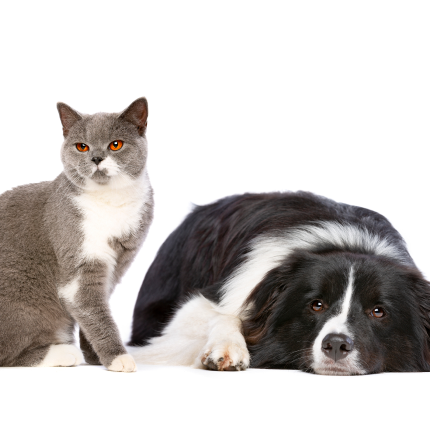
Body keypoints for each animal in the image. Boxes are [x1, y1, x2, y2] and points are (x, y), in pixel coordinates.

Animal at [0, 96, 154, 370]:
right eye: (82, 147)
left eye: (115, 144)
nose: (96, 158)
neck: (110, 201)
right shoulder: (79, 262)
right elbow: (96, 312)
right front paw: (118, 358)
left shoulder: (118, 265)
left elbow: (94, 312)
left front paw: (95, 356)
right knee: (8, 354)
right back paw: (63, 352)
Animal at [129, 193, 430, 374]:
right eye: (316, 305)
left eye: (378, 311)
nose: (335, 345)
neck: (349, 246)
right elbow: (224, 315)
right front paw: (227, 348)